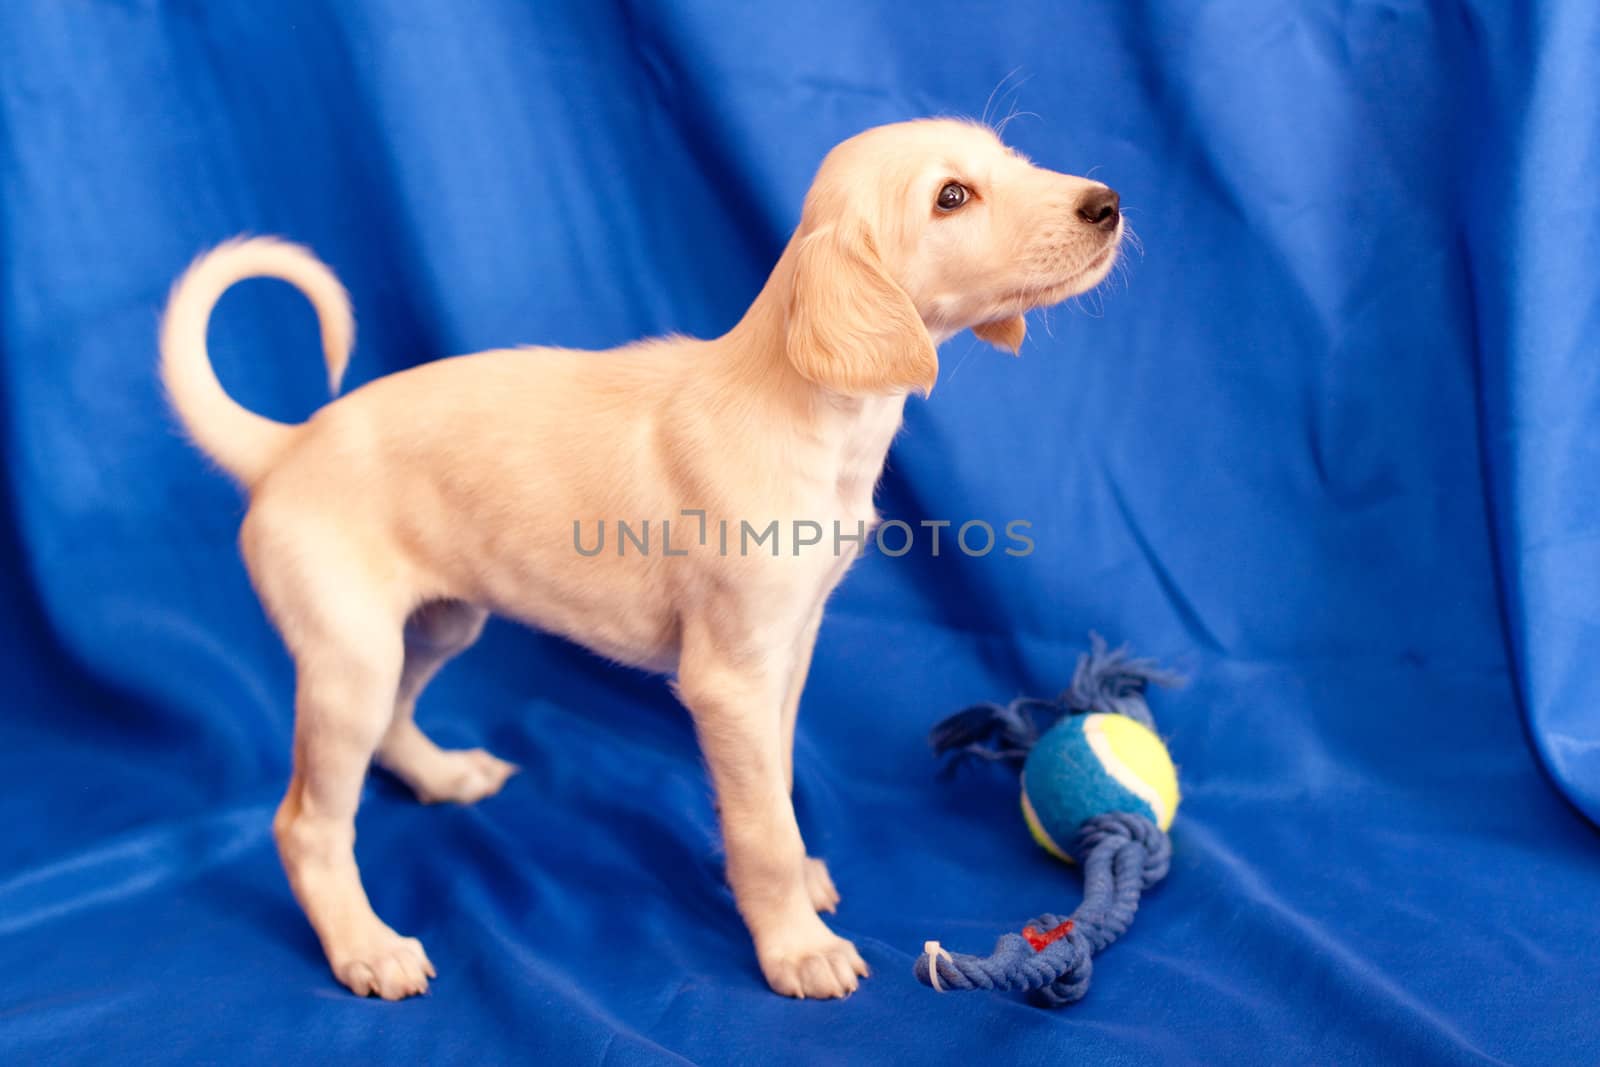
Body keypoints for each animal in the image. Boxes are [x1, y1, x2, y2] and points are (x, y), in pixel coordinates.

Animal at [156, 119, 1120, 1004]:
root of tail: (286, 446)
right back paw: (365, 945)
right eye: (951, 196)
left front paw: (785, 886)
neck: (804, 411)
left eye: (1013, 161)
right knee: (307, 822)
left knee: (393, 723)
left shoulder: (788, 650)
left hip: (432, 628)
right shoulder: (727, 677)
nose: (1107, 203)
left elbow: (772, 785)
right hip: (349, 659)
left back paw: (443, 775)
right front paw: (795, 946)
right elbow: (763, 826)